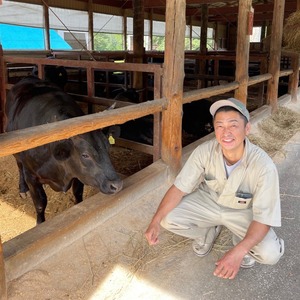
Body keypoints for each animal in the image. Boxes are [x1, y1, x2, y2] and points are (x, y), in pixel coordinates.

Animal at [4, 76, 122, 224]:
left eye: (108, 147)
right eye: (85, 155)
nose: (116, 185)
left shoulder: (78, 173)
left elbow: (78, 194)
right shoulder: (31, 177)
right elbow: (40, 203)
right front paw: (40, 222)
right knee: (19, 166)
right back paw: (23, 189)